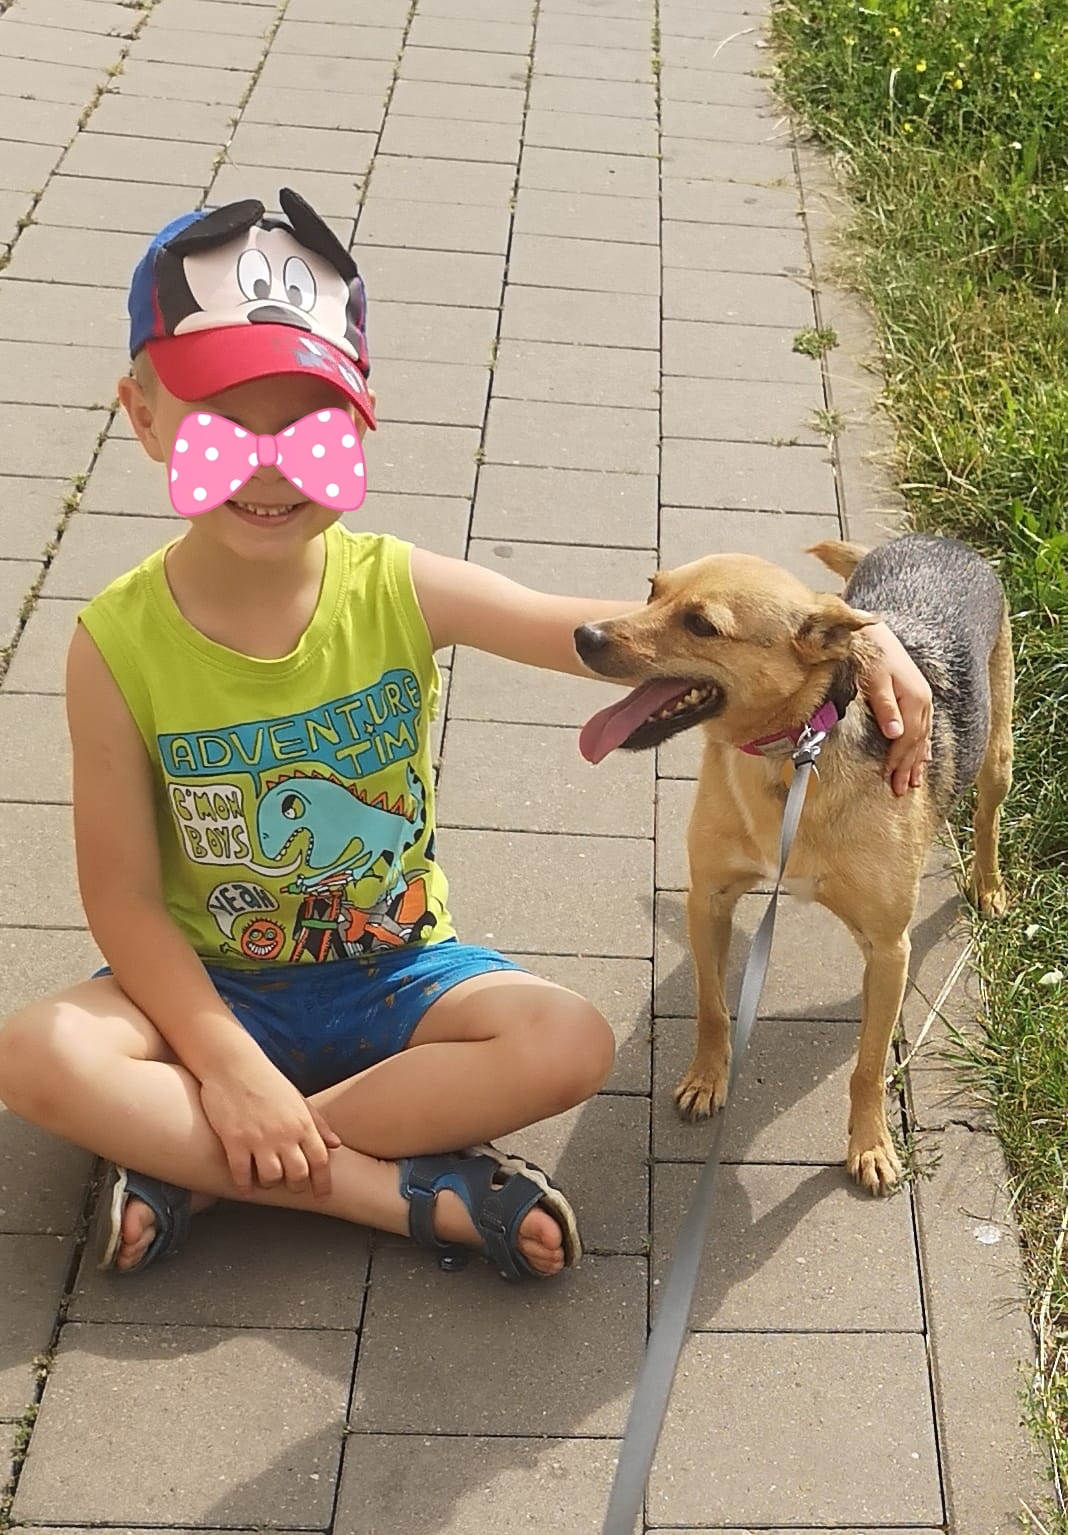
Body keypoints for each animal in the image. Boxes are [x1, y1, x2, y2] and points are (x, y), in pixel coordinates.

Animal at [574, 534, 1013, 1195]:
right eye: (653, 589)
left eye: (701, 625)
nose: (583, 633)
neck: (792, 753)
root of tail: (933, 539)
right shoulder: (708, 898)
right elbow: (711, 1008)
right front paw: (707, 1079)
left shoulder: (889, 949)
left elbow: (867, 1066)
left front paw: (871, 1145)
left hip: (997, 756)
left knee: (986, 819)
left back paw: (987, 887)